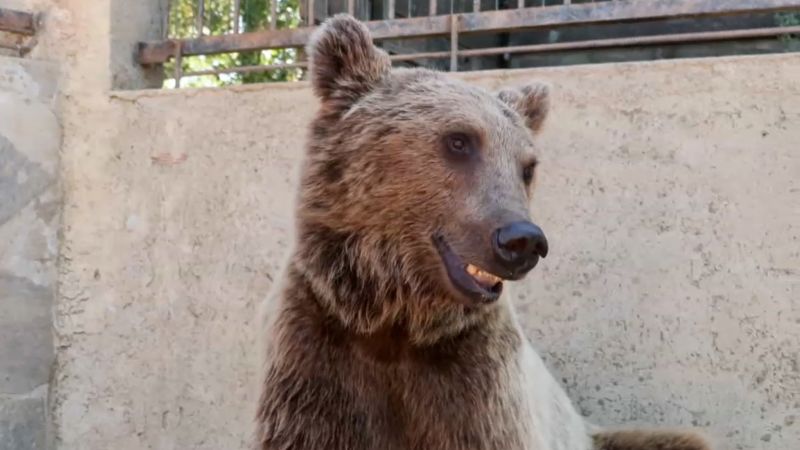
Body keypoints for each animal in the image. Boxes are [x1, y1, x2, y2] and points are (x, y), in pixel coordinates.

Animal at [255, 14, 712, 450]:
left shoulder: (478, 382)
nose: (523, 240)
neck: (397, 319)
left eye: (527, 167)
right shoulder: (320, 356)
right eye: (459, 141)